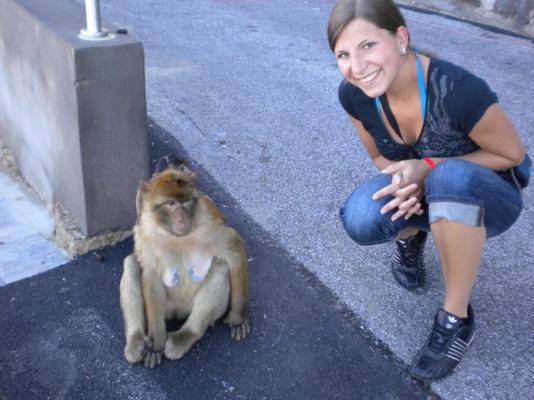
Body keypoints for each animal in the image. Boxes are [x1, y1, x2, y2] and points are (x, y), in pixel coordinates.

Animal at [120, 161, 250, 368]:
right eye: (171, 204)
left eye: (186, 202)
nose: (182, 219)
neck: (173, 235)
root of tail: (178, 313)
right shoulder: (145, 233)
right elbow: (150, 275)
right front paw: (156, 343)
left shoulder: (209, 220)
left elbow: (234, 251)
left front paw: (237, 318)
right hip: (166, 308)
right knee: (131, 263)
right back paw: (136, 339)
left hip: (188, 308)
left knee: (221, 269)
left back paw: (186, 335)